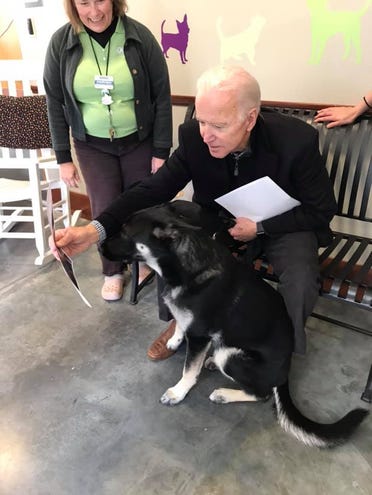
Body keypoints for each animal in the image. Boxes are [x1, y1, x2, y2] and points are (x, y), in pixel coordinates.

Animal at [101, 200, 370, 448]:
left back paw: (224, 394)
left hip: (230, 355)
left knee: (262, 394)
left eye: (126, 233)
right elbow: (179, 321)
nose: (100, 246)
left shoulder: (199, 335)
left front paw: (178, 392)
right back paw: (210, 363)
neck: (185, 265)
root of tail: (285, 372)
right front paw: (175, 339)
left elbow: (189, 369)